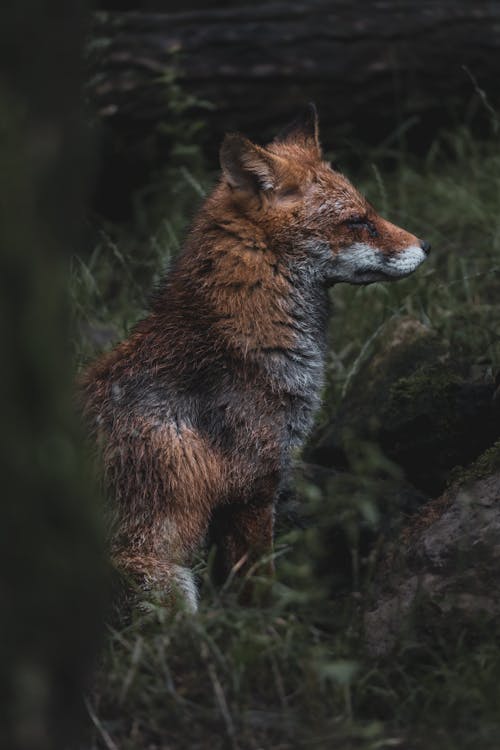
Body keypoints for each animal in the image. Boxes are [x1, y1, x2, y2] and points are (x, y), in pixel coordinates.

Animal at [79, 104, 430, 612]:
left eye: (370, 211)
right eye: (356, 221)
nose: (426, 246)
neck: (234, 337)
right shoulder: (253, 488)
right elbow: (258, 587)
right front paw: (273, 625)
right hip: (165, 580)